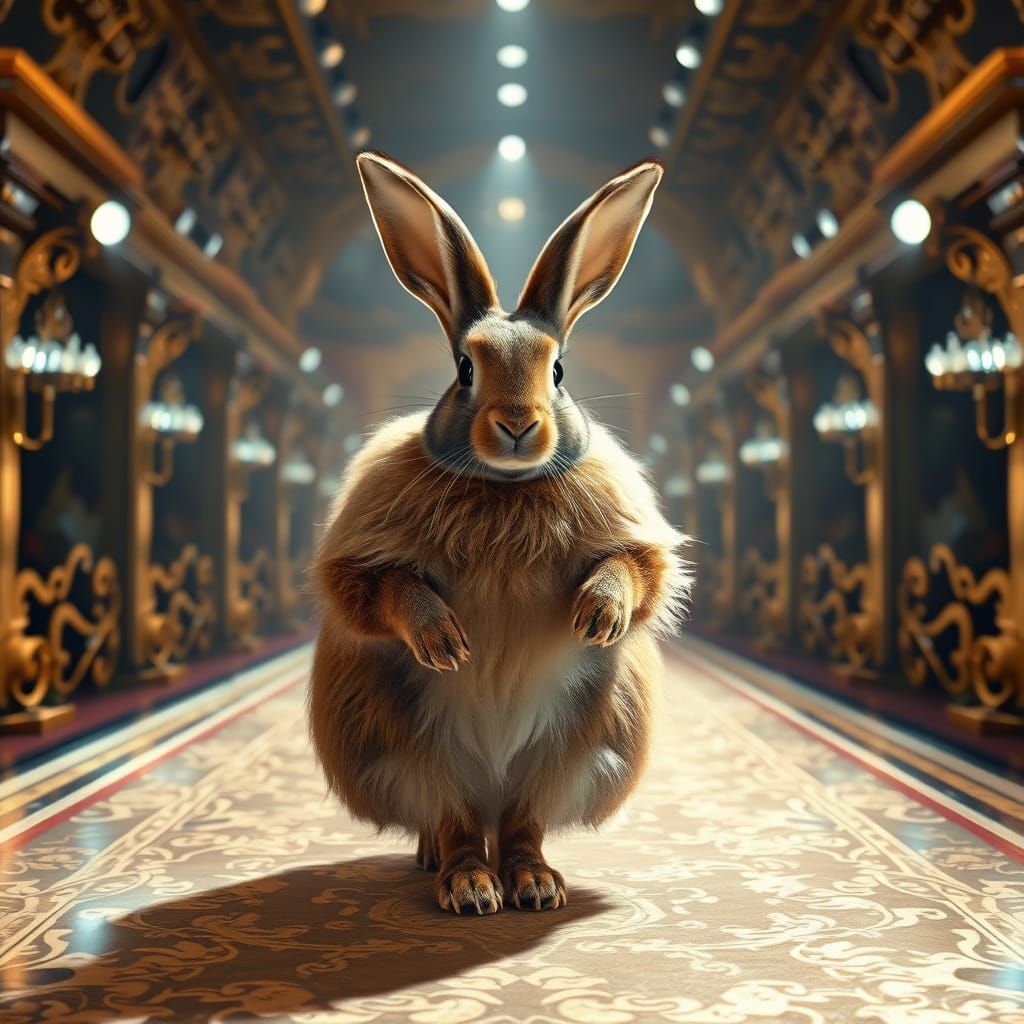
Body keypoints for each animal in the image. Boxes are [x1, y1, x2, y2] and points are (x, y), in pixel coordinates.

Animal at [309, 151, 691, 916]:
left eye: (559, 369)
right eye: (464, 368)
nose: (518, 424)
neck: (506, 489)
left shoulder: (633, 537)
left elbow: (638, 568)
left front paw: (597, 615)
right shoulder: (361, 558)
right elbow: (374, 586)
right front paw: (444, 640)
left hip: (571, 750)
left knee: (522, 824)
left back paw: (533, 884)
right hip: (415, 750)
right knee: (453, 820)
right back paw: (463, 883)